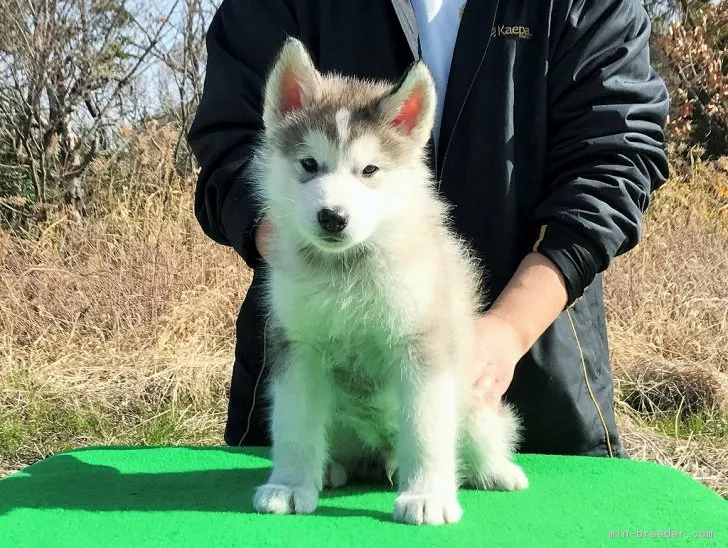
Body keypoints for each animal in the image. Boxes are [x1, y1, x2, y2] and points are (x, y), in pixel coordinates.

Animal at [252, 36, 528, 524]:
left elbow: (424, 429)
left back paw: (494, 471)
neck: (346, 270)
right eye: (309, 163)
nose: (333, 217)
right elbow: (295, 424)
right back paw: (330, 470)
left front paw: (426, 496)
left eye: (369, 171)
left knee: (479, 436)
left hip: (473, 399)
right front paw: (289, 485)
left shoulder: (422, 346)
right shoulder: (297, 346)